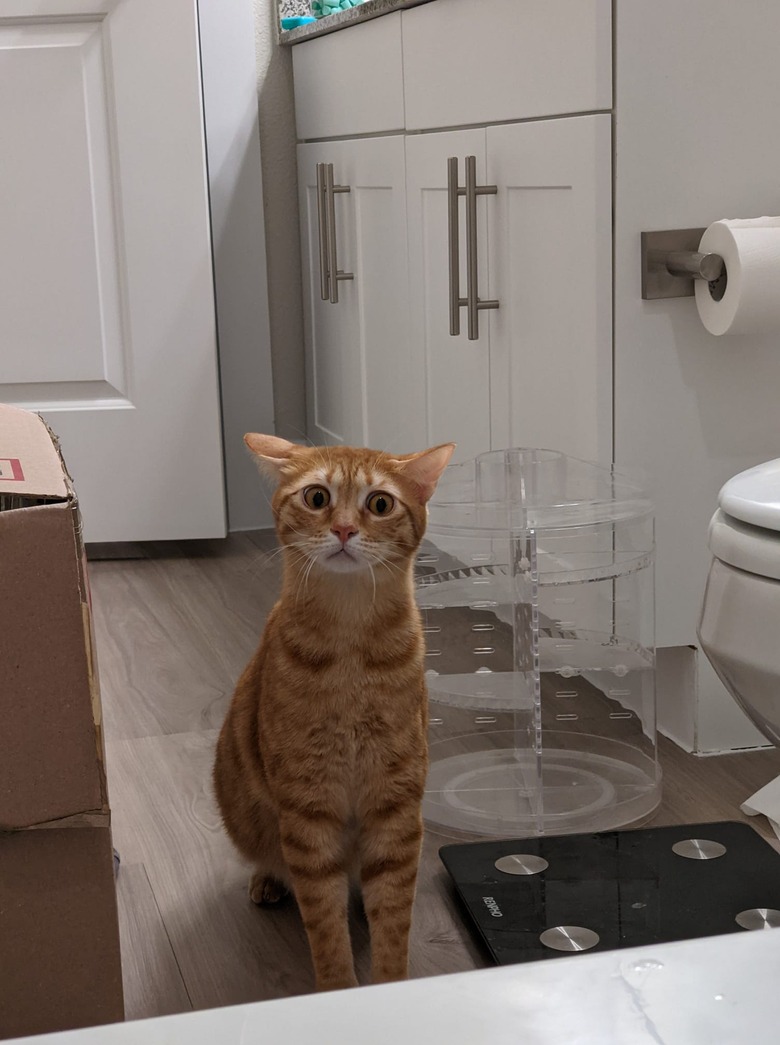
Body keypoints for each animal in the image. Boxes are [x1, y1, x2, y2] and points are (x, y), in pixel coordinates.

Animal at [214, 432, 455, 986]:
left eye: (380, 504)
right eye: (317, 497)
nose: (344, 529)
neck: (351, 651)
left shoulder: (395, 805)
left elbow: (393, 919)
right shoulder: (308, 809)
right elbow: (325, 927)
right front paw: (337, 988)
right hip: (242, 809)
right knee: (270, 857)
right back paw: (267, 880)